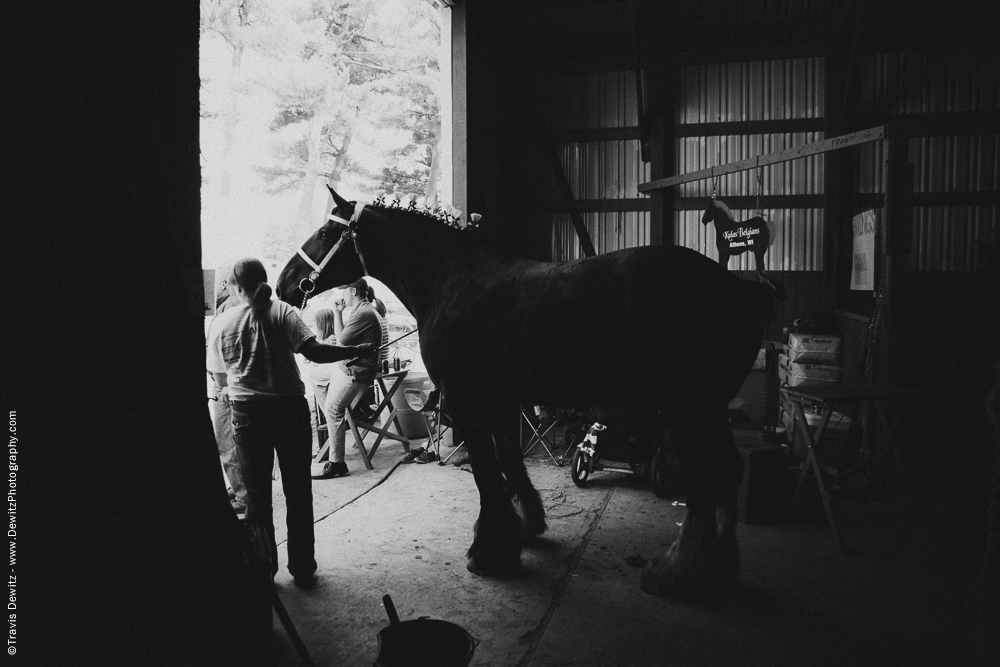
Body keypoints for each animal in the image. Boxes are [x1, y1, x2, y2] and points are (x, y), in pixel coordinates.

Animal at [276, 188, 780, 600]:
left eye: (327, 231)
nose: (284, 283)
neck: (451, 280)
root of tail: (742, 289)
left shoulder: (468, 401)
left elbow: (486, 472)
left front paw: (490, 551)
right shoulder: (501, 401)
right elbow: (510, 463)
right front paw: (526, 527)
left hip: (689, 409)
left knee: (709, 477)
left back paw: (678, 572)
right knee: (725, 473)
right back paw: (713, 568)